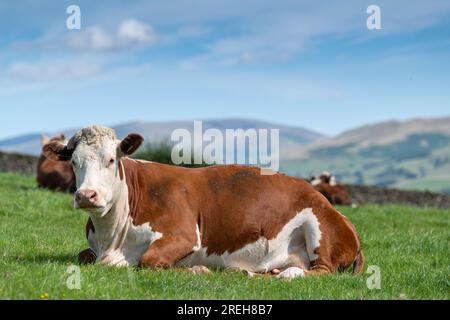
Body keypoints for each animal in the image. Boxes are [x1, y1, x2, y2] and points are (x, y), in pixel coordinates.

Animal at [44, 126, 364, 278]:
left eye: (111, 160)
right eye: (73, 162)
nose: (86, 195)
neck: (113, 237)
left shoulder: (184, 234)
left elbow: (148, 261)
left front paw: (197, 269)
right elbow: (83, 255)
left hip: (319, 226)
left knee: (318, 271)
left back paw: (283, 274)